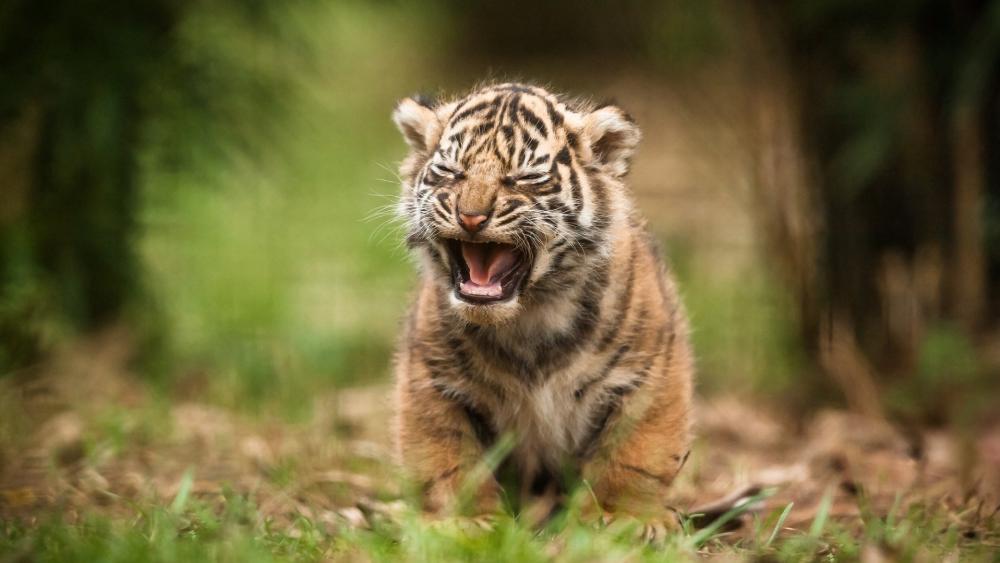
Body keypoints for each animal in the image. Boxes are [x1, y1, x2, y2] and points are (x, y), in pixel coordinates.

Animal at [390, 82, 693, 540]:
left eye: (524, 178)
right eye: (451, 172)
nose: (471, 217)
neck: (529, 315)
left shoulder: (649, 372)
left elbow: (635, 453)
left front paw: (625, 518)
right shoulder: (432, 379)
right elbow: (447, 457)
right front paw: (465, 521)